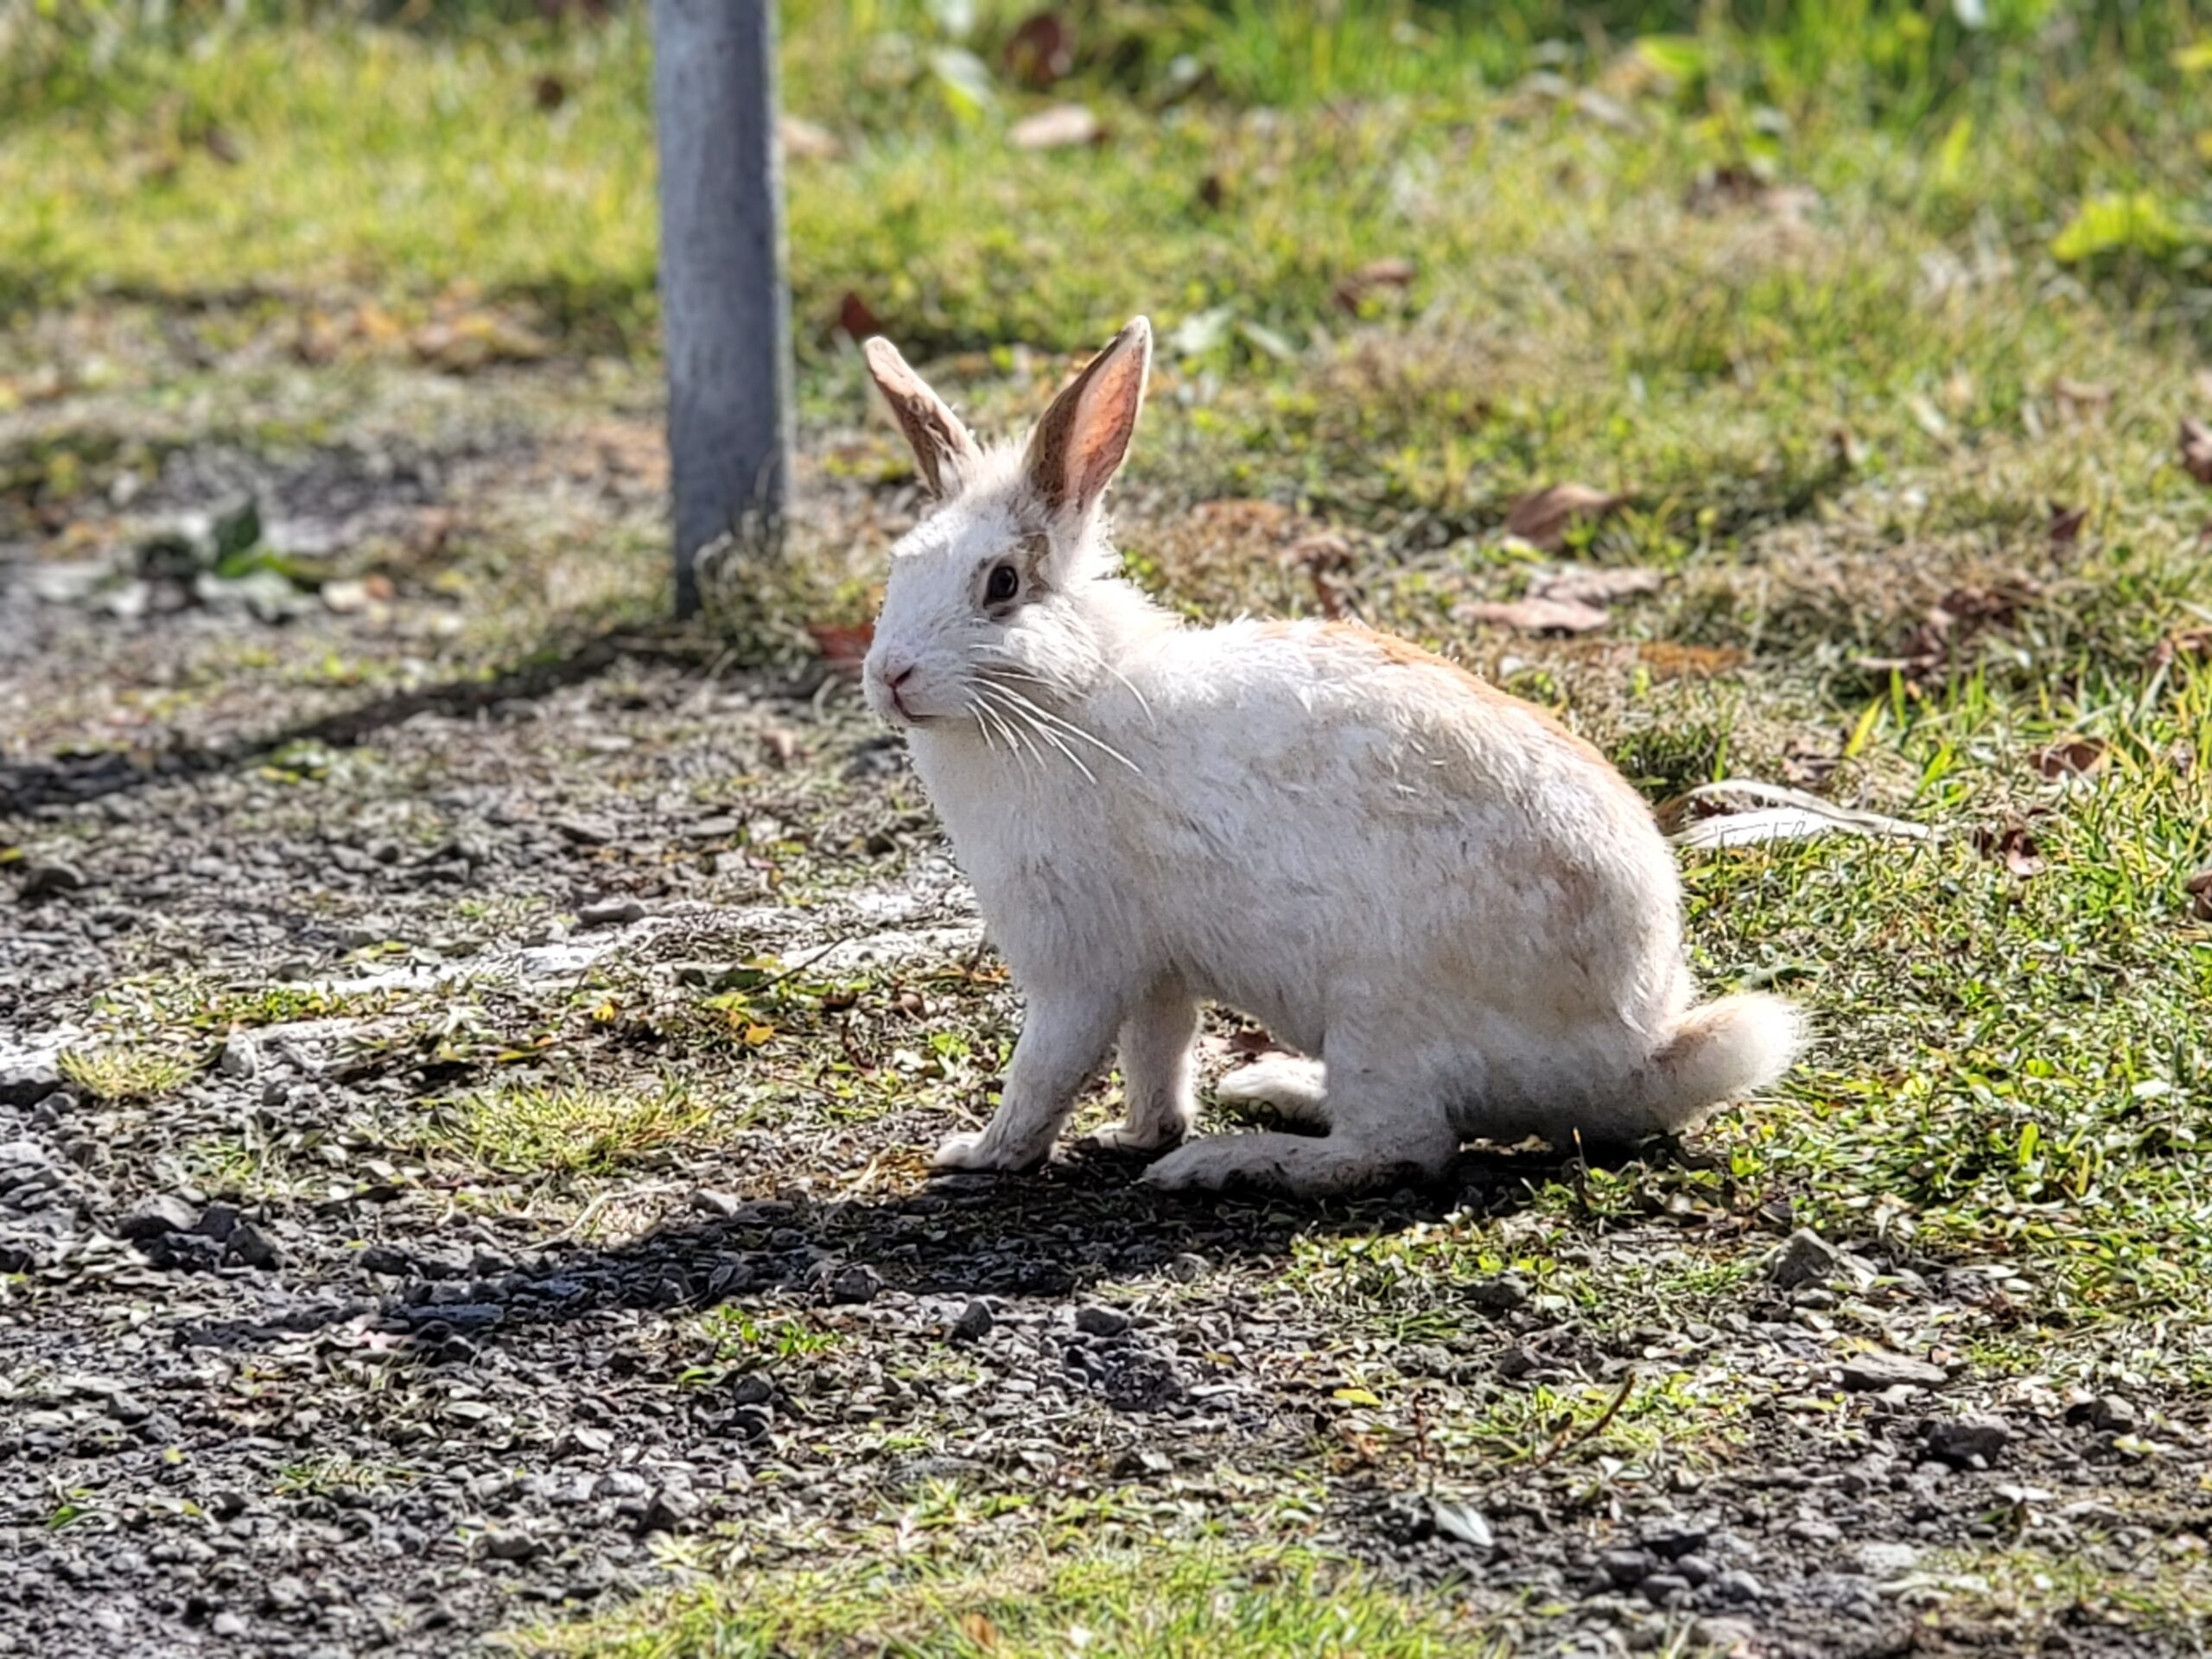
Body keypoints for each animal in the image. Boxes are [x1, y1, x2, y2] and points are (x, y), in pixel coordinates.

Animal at [854, 318, 1804, 1194]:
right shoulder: (1157, 972)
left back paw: (1228, 1161)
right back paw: (1269, 1088)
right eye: (897, 570)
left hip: (1376, 1016)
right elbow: (1157, 1053)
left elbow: (1046, 1069)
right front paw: (1137, 1135)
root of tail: (1635, 1051)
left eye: (1002, 584)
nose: (888, 675)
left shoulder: (1076, 965)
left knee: (1402, 1147)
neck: (1062, 696)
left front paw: (979, 1155)